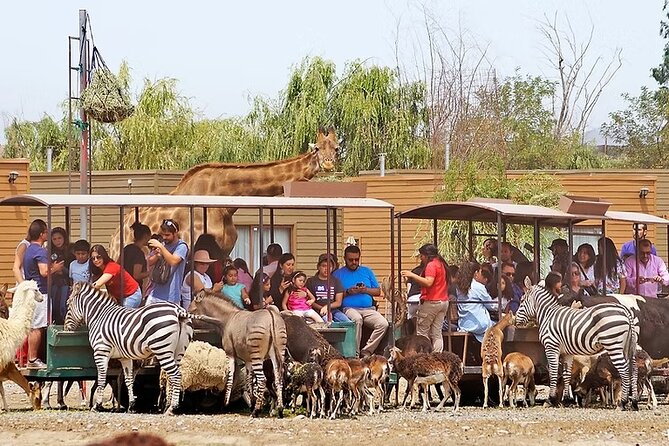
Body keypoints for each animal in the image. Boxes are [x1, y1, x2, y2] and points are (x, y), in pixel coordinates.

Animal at [64, 281, 215, 414]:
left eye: (68, 304)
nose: (66, 328)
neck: (99, 316)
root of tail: (178, 310)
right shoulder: (125, 358)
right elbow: (128, 380)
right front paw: (131, 406)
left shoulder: (101, 352)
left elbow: (101, 378)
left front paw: (97, 406)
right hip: (178, 351)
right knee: (172, 376)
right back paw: (167, 406)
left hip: (162, 350)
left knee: (176, 375)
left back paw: (172, 408)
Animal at [107, 127, 339, 260]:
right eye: (317, 148)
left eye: (336, 148)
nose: (328, 164)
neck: (224, 204)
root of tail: (114, 237)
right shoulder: (190, 246)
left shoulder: (224, 250)